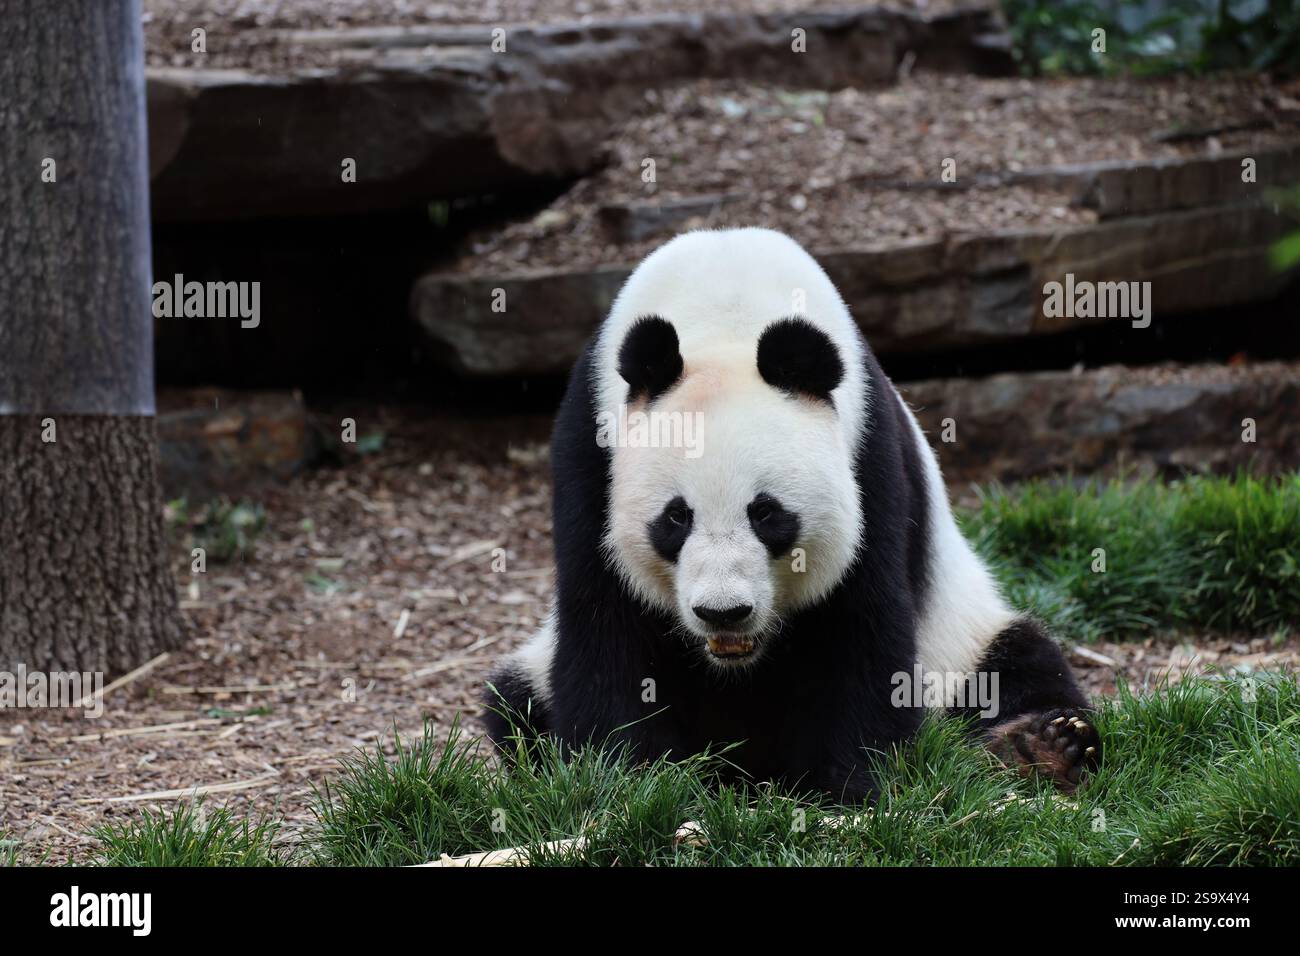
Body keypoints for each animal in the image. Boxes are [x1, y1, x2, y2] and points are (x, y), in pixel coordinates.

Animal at [485, 227, 1100, 801]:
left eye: (766, 514)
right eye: (676, 519)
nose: (723, 612)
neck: (724, 313)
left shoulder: (867, 455)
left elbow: (860, 621)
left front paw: (848, 790)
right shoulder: (591, 457)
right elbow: (604, 622)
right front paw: (623, 782)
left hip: (958, 634)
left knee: (1016, 664)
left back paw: (1040, 746)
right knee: (511, 704)